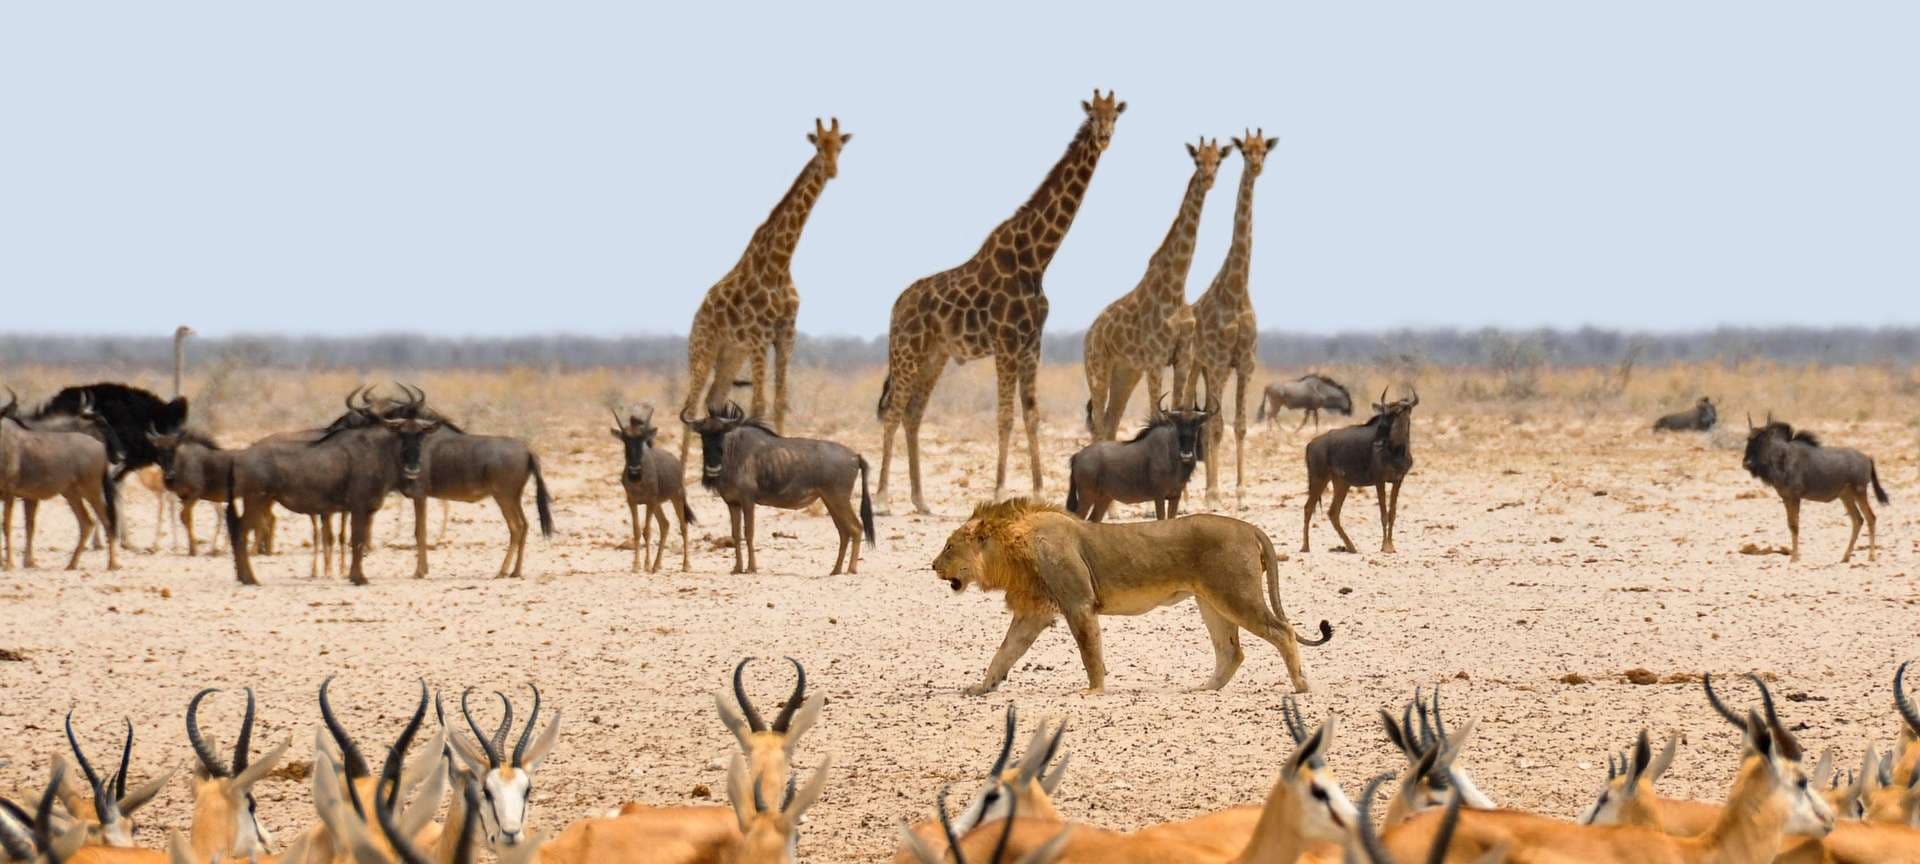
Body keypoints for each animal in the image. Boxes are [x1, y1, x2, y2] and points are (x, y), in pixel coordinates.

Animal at [679, 119, 852, 468]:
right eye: (818, 146)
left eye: (840, 146)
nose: (831, 170)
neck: (780, 263)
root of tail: (697, 315)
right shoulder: (759, 336)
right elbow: (759, 404)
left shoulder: (785, 334)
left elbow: (780, 401)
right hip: (703, 349)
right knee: (691, 406)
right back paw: (679, 475)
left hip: (731, 354)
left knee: (714, 400)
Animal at [879, 92, 1128, 514]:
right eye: (1093, 116)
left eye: (1116, 117)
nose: (1105, 137)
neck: (1036, 258)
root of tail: (897, 306)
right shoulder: (1007, 343)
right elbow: (1005, 417)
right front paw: (997, 491)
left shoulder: (1031, 345)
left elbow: (1032, 415)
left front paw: (1040, 491)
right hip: (907, 351)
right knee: (894, 412)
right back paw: (882, 497)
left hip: (934, 356)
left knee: (913, 414)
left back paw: (920, 500)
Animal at [933, 499, 1336, 695]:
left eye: (949, 546)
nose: (933, 565)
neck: (1012, 550)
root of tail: (1251, 527)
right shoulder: (1034, 612)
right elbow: (1004, 652)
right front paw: (983, 686)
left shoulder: (1078, 604)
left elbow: (1089, 652)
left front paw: (1094, 691)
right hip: (1212, 602)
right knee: (1231, 651)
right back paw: (1205, 688)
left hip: (1236, 595)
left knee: (1282, 631)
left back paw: (1300, 685)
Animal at [1082, 140, 1228, 445]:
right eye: (1198, 160)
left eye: (1218, 160)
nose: (1208, 179)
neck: (1176, 287)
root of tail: (1088, 335)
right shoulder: (1155, 359)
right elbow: (1156, 412)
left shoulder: (1182, 357)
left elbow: (1180, 408)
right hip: (1098, 367)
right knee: (1099, 422)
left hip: (1126, 372)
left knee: (1111, 421)